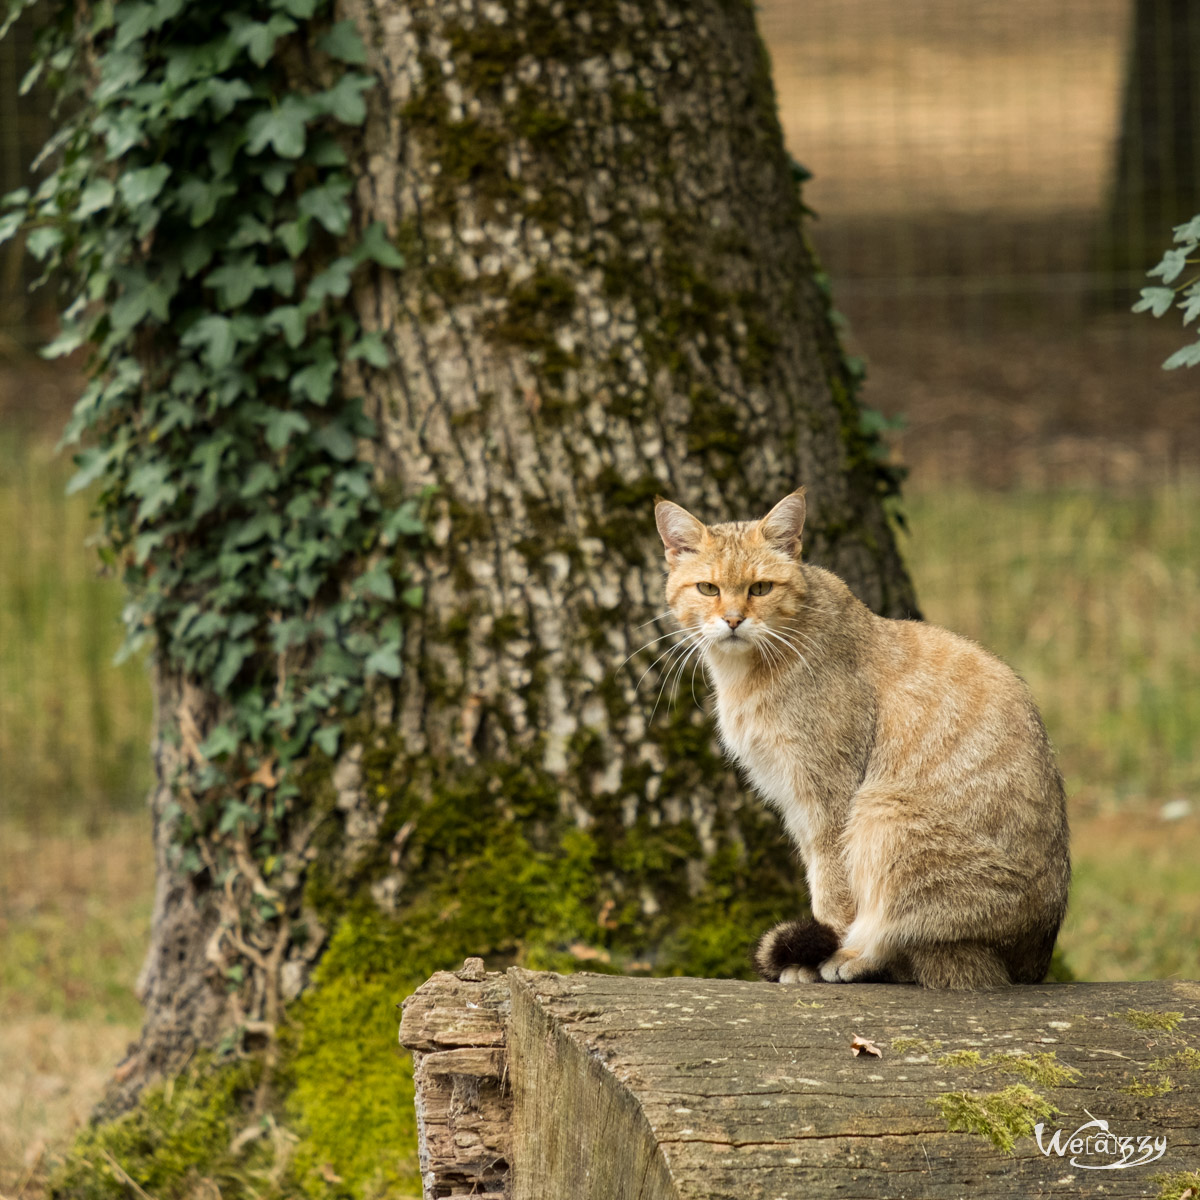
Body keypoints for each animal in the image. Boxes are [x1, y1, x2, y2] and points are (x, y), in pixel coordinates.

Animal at [657, 482, 1070, 988]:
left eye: (760, 588)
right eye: (708, 588)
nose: (733, 619)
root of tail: (1028, 966)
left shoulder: (830, 799)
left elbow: (835, 891)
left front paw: (821, 953)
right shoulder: (797, 804)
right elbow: (820, 881)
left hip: (882, 812)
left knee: (902, 933)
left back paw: (854, 956)